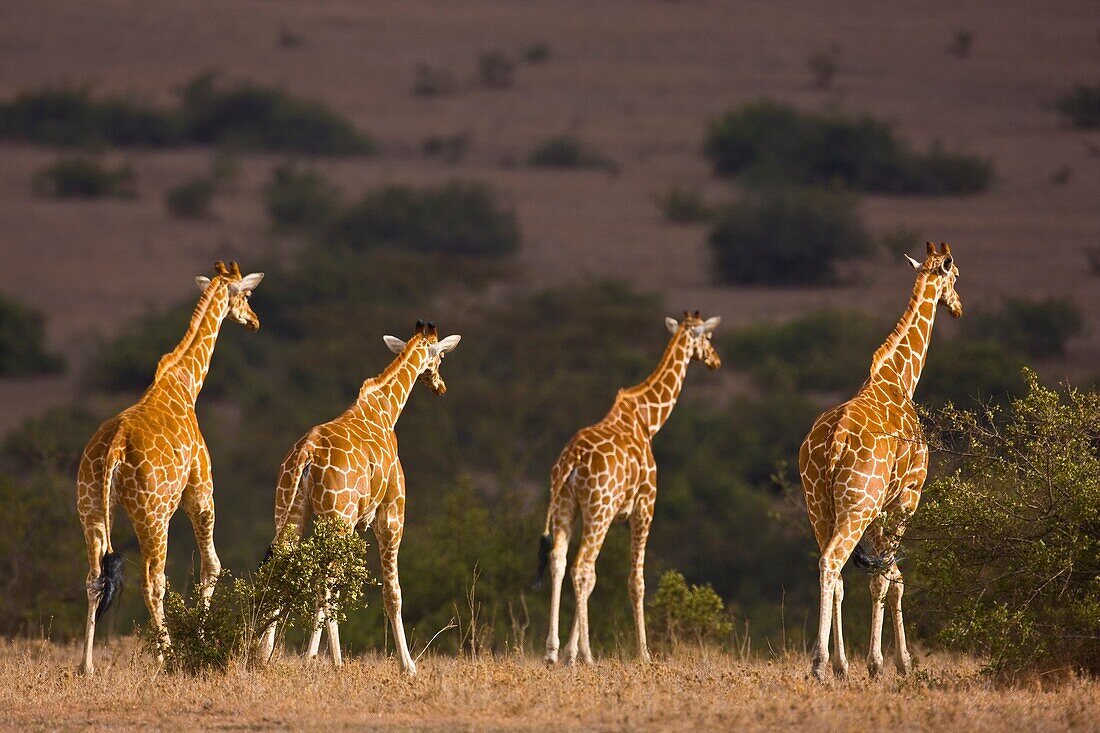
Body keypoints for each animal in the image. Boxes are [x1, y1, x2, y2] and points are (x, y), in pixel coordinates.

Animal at [75, 259, 264, 669]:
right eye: (246, 294)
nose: (254, 321)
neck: (185, 385)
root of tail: (113, 450)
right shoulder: (201, 492)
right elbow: (212, 566)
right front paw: (202, 641)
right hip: (154, 515)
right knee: (153, 581)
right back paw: (166, 658)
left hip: (91, 510)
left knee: (94, 578)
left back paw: (87, 666)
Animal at [257, 316, 459, 669]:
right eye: (440, 357)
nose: (440, 385)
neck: (386, 410)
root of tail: (306, 452)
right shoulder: (390, 513)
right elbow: (392, 592)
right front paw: (408, 666)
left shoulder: (350, 522)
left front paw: (310, 656)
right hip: (337, 517)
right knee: (326, 582)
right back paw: (338, 662)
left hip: (292, 511)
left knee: (287, 570)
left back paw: (262, 655)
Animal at [534, 308, 721, 660]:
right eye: (708, 336)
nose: (715, 361)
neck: (648, 421)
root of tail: (570, 460)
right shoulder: (644, 507)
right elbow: (636, 581)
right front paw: (644, 654)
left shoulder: (613, 513)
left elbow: (596, 577)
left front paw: (569, 652)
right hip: (598, 509)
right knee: (581, 567)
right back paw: (588, 655)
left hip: (570, 506)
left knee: (560, 561)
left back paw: (552, 652)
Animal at [800, 241, 963, 677]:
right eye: (956, 276)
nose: (958, 307)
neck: (900, 379)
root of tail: (834, 442)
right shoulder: (906, 496)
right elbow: (889, 578)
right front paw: (887, 663)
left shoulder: (879, 507)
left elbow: (886, 574)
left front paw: (870, 663)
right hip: (858, 504)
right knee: (833, 564)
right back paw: (819, 664)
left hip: (820, 506)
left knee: (833, 569)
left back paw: (837, 664)